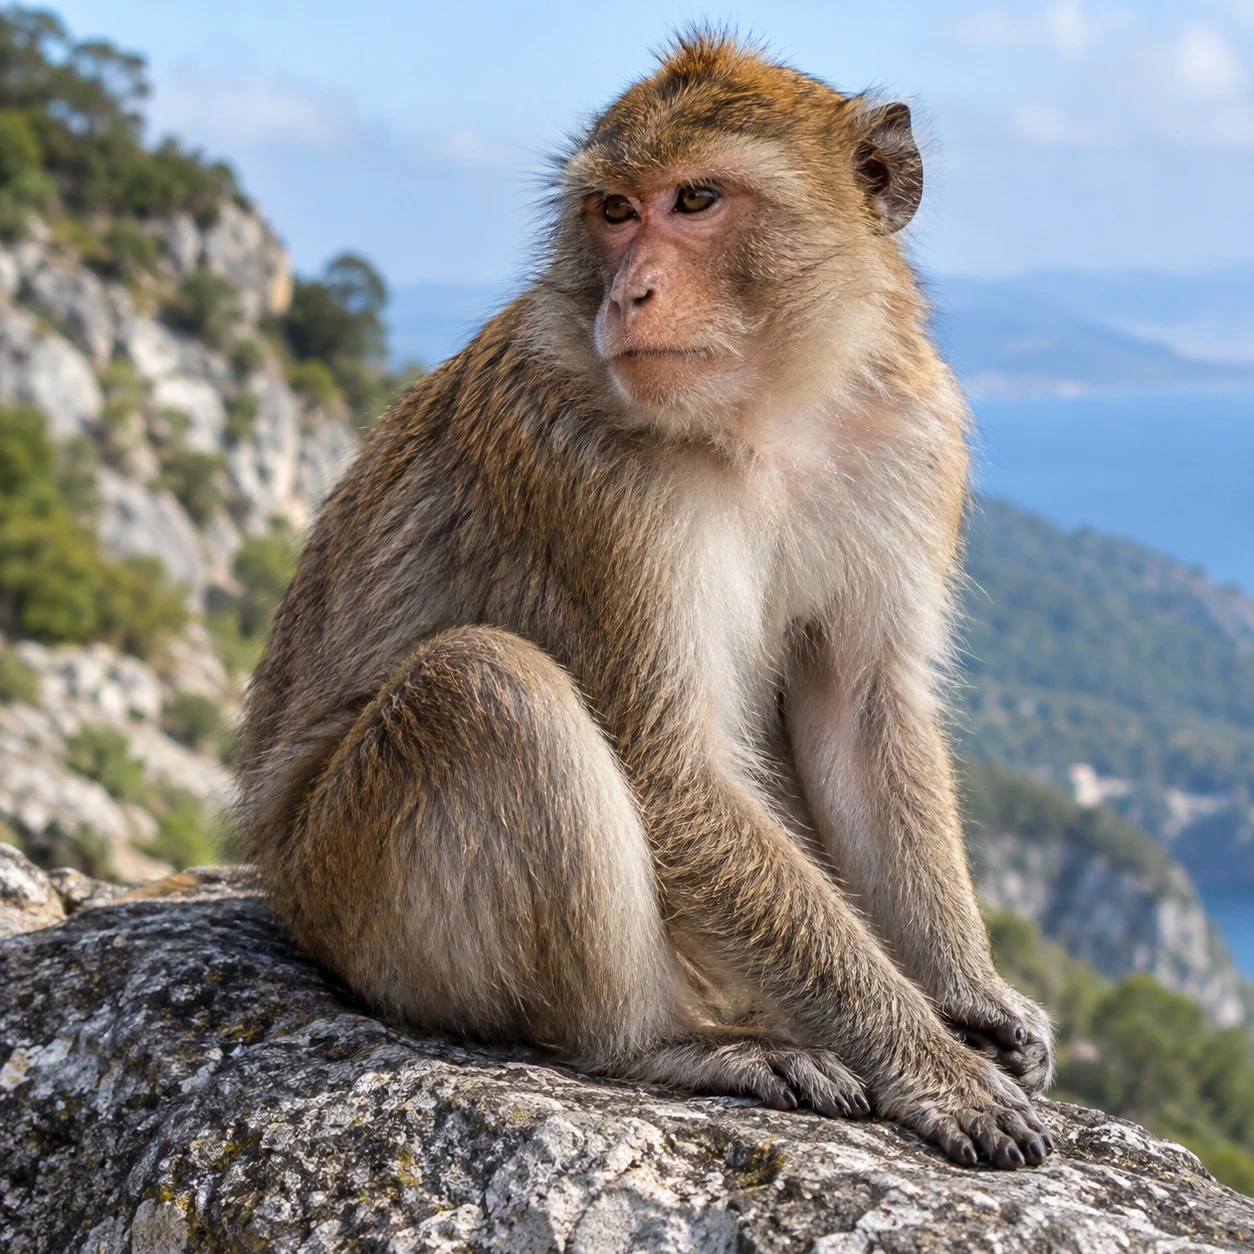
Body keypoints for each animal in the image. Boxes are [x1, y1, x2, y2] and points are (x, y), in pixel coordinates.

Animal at [239, 32, 1055, 1170]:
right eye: (616, 212)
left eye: (698, 199)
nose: (628, 295)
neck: (771, 416)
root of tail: (275, 877)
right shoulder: (592, 477)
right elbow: (673, 773)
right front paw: (932, 1063)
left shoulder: (913, 436)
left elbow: (861, 711)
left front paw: (973, 1001)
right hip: (348, 890)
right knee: (486, 686)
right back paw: (662, 1040)